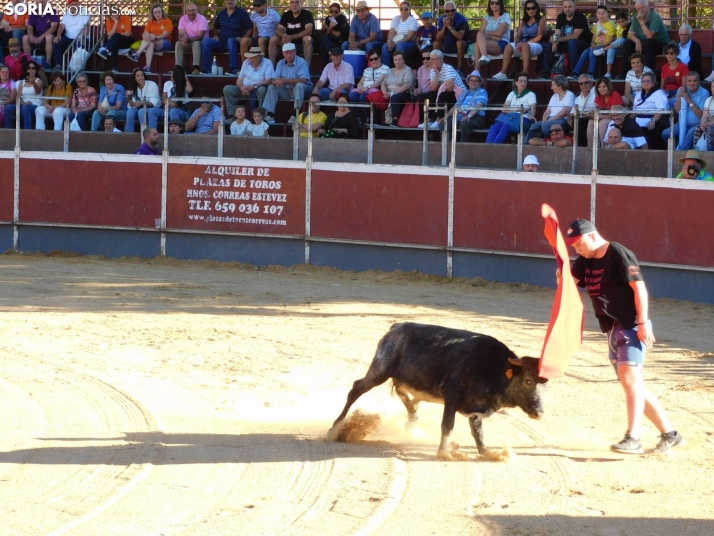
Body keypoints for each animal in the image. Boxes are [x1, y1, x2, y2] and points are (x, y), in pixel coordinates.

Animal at [326, 322, 548, 460]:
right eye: (528, 381)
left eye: (545, 386)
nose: (539, 413)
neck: (495, 369)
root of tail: (396, 327)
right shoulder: (452, 396)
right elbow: (447, 425)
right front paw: (444, 453)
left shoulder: (477, 410)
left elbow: (477, 431)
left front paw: (486, 453)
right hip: (380, 370)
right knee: (356, 389)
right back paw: (334, 429)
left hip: (401, 377)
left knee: (403, 394)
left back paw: (412, 419)